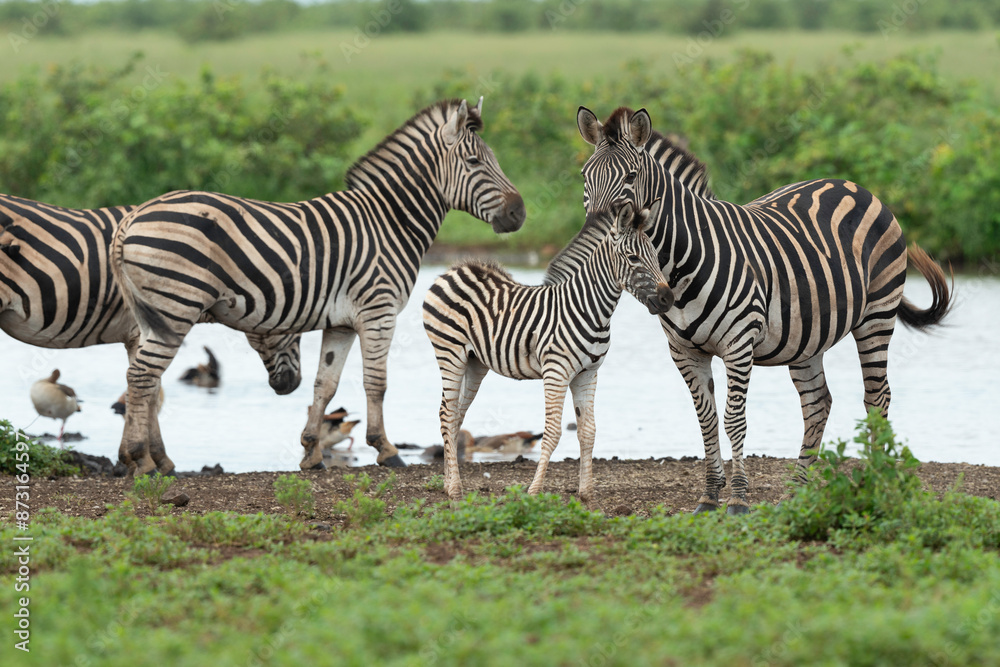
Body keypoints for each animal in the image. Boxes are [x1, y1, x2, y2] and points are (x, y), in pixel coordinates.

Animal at [0, 193, 304, 474]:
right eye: (295, 329)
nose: (290, 385)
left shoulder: (139, 334)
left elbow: (147, 388)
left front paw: (143, 458)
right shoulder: (146, 328)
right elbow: (151, 390)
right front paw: (150, 460)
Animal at [110, 98, 528, 474]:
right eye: (474, 162)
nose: (519, 213)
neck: (389, 221)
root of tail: (133, 217)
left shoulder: (341, 323)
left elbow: (324, 385)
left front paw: (311, 453)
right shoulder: (379, 310)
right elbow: (376, 382)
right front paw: (386, 450)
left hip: (154, 314)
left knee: (144, 379)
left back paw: (148, 459)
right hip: (175, 305)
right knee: (143, 377)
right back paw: (140, 459)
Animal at [422, 201, 672, 504]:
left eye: (656, 257)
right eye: (633, 258)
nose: (668, 299)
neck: (590, 309)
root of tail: (454, 269)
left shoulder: (588, 374)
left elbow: (588, 432)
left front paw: (586, 493)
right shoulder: (557, 372)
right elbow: (552, 432)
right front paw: (533, 492)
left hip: (475, 363)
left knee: (456, 415)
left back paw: (449, 484)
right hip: (449, 352)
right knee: (446, 415)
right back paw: (456, 491)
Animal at [576, 107, 948, 516]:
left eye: (629, 176)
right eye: (585, 176)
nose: (598, 233)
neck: (681, 262)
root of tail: (853, 186)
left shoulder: (739, 344)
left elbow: (734, 418)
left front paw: (738, 500)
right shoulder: (685, 351)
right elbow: (706, 419)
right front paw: (709, 496)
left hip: (877, 315)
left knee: (876, 397)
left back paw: (873, 481)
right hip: (808, 335)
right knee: (818, 403)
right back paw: (797, 492)